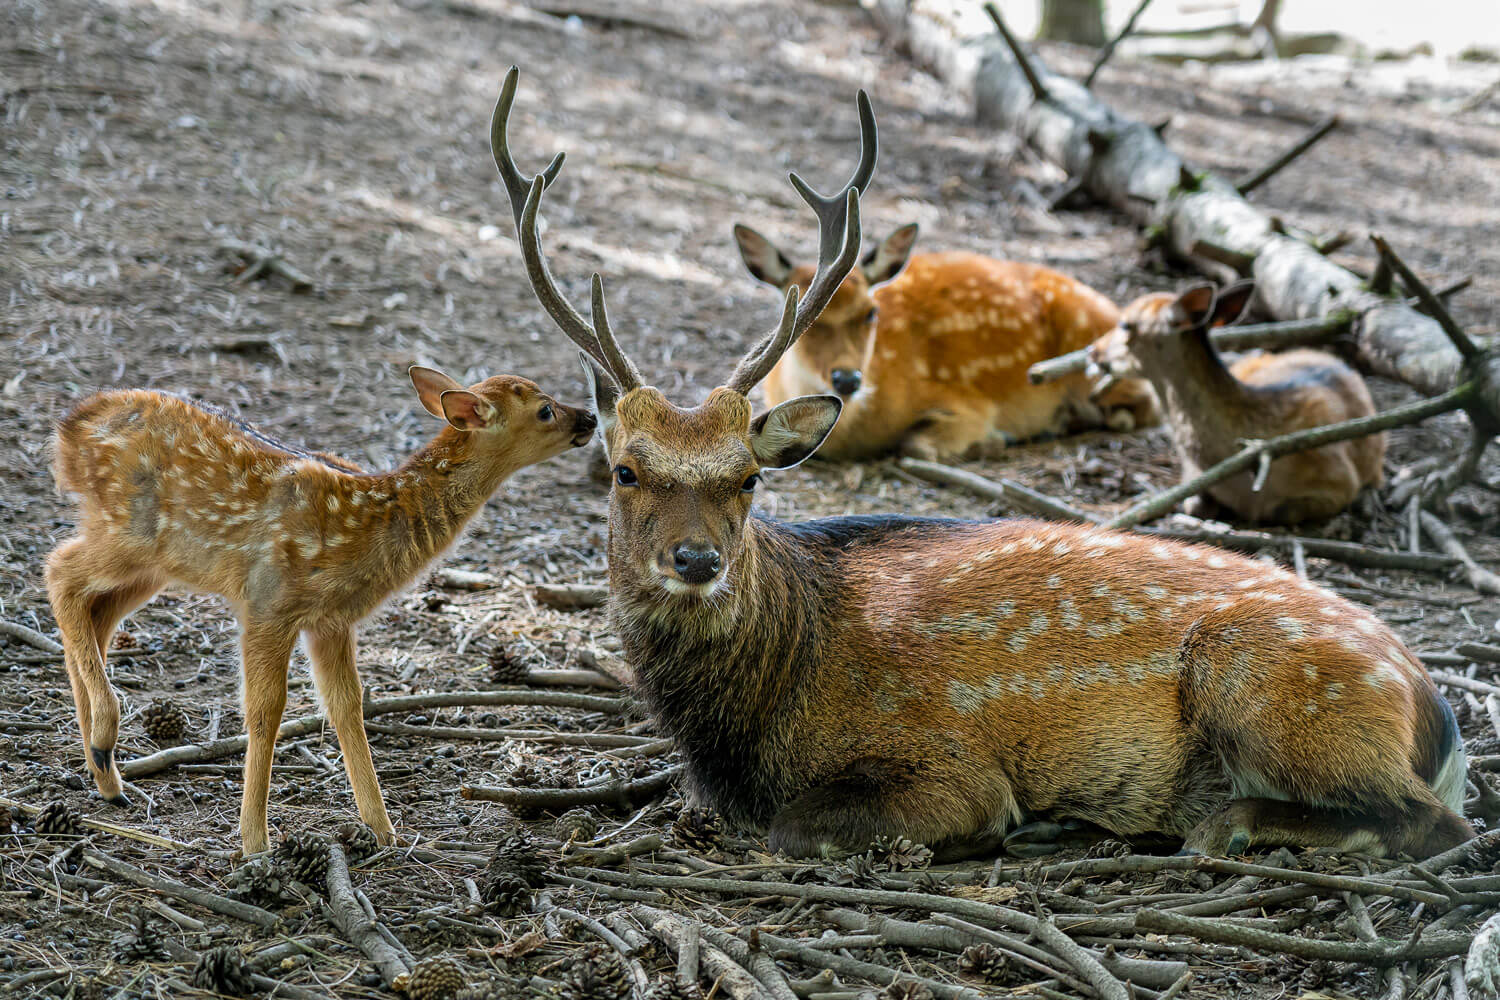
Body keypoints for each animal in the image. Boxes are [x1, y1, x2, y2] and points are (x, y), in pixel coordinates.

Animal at [42, 367, 591, 851]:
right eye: (544, 409)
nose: (588, 417)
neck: (374, 521)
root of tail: (69, 427)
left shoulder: (331, 620)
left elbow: (348, 706)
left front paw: (383, 832)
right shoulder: (270, 602)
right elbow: (266, 710)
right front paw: (255, 841)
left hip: (161, 561)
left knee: (95, 611)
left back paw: (104, 771)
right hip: (130, 530)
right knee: (59, 572)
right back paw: (106, 734)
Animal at [735, 223, 1158, 461]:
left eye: (871, 312)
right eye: (799, 322)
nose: (847, 379)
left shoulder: (968, 402)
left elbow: (914, 444)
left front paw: (993, 441)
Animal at [1086, 281, 1386, 524]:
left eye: (1125, 324)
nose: (1092, 351)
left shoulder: (1339, 479)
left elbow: (1279, 511)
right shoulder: (1191, 474)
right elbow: (1193, 503)